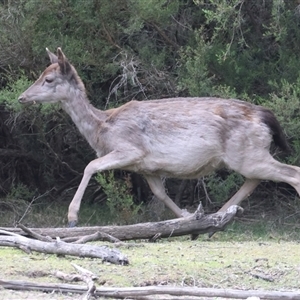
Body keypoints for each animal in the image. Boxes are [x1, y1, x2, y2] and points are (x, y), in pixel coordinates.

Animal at [18, 47, 300, 225]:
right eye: (40, 75)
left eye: (49, 79)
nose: (22, 97)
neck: (101, 129)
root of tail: (264, 115)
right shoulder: (148, 167)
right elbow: (160, 194)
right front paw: (187, 216)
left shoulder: (131, 149)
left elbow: (91, 165)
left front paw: (72, 218)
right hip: (248, 155)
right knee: (256, 180)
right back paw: (217, 217)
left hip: (247, 153)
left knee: (291, 172)